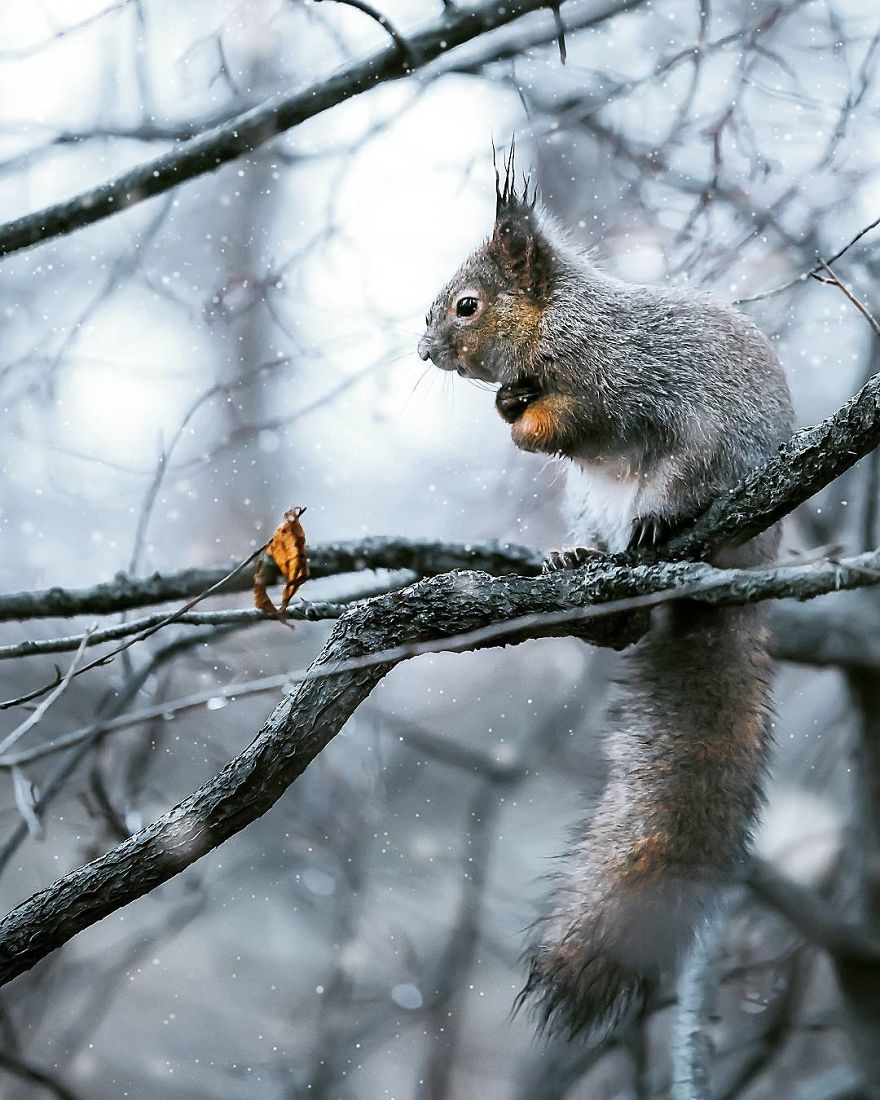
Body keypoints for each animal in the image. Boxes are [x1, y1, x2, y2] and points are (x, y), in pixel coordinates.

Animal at [415, 152, 792, 1038]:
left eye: (467, 305)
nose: (422, 349)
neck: (559, 326)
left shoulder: (621, 380)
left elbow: (576, 421)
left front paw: (522, 419)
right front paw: (506, 406)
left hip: (708, 461)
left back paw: (658, 525)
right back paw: (580, 554)